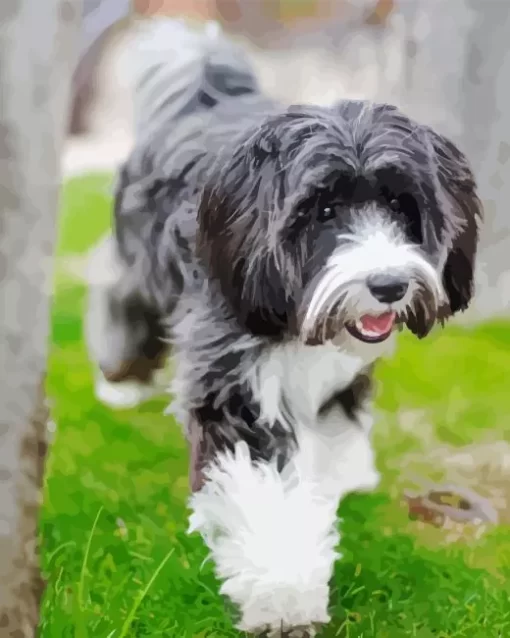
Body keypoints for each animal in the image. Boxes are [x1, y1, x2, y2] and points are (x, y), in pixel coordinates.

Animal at [86, 18, 482, 638]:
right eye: (323, 211)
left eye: (401, 205)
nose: (389, 284)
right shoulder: (231, 384)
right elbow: (263, 494)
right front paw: (284, 595)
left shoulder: (344, 365)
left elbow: (340, 410)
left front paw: (341, 472)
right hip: (137, 257)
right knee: (116, 289)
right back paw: (120, 379)